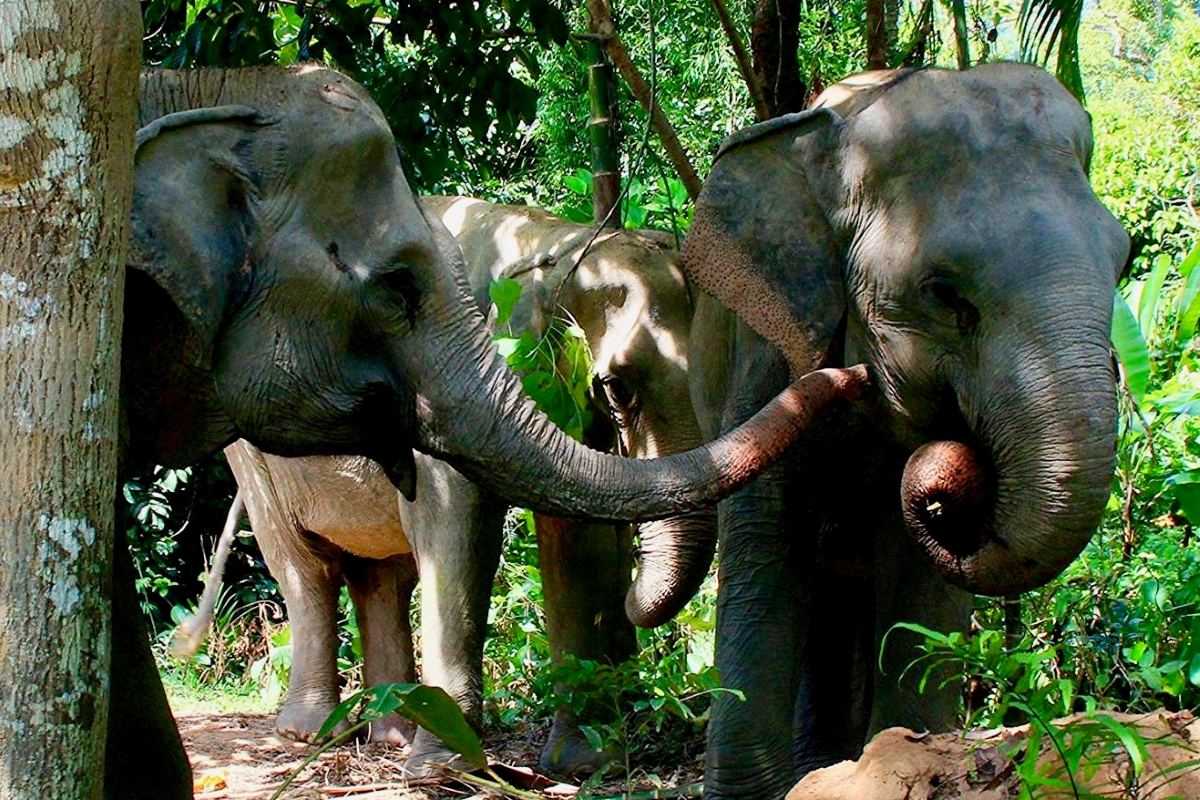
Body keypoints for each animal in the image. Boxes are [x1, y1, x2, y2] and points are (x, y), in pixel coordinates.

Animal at [179, 199, 712, 775]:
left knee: (383, 577)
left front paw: (585, 767)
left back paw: (393, 733)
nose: (634, 600)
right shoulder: (437, 384)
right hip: (252, 458)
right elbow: (457, 531)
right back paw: (312, 735)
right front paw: (445, 769)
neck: (554, 237)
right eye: (617, 387)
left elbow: (574, 539)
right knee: (306, 569)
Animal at [673, 63, 1131, 798]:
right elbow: (766, 548)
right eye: (943, 293)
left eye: (1125, 263)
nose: (951, 487)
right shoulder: (767, 352)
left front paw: (905, 758)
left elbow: (919, 583)